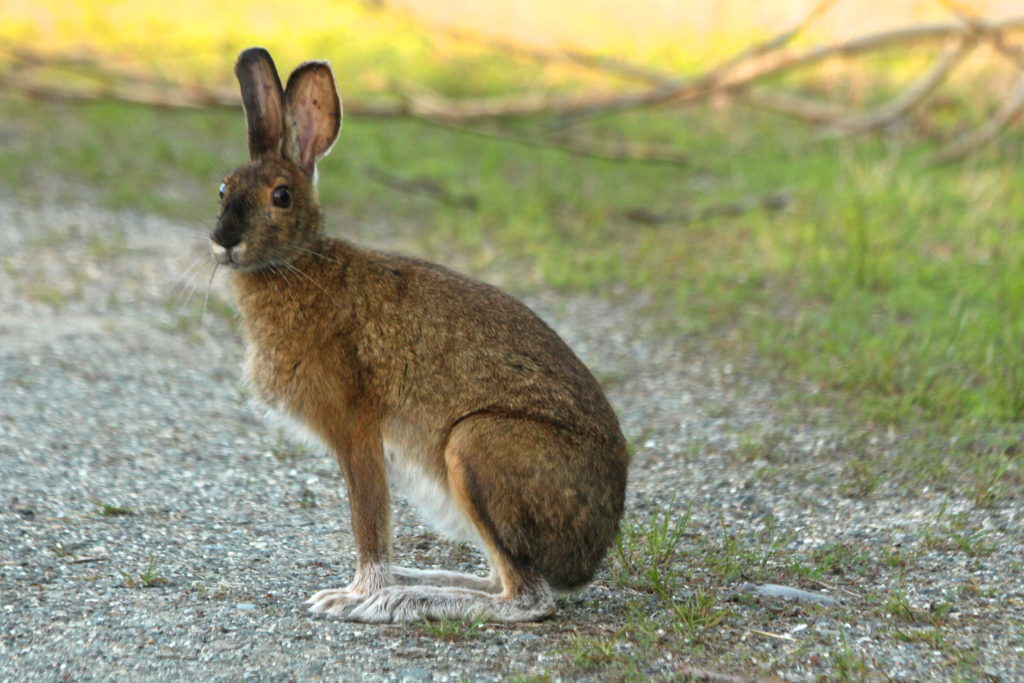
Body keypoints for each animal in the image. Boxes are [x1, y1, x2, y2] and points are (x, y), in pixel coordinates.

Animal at [209, 46, 630, 626]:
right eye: (223, 189)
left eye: (282, 196)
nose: (223, 241)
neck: (299, 265)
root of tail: (590, 555)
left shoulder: (356, 430)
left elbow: (369, 525)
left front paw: (354, 596)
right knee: (505, 579)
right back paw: (420, 581)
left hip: (475, 447)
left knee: (527, 598)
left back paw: (401, 598)